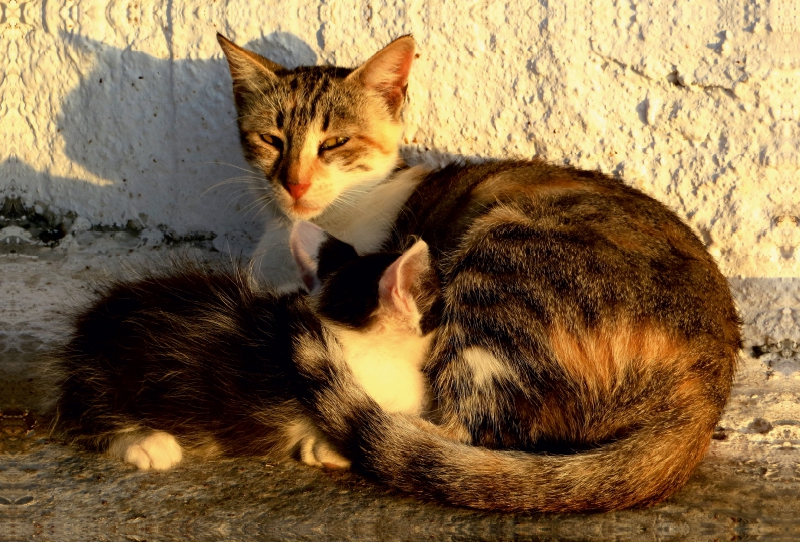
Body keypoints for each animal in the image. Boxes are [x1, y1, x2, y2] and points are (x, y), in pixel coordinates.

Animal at [216, 35, 740, 516]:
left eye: (334, 143)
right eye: (270, 140)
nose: (295, 183)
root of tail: (709, 382)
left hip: (504, 259)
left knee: (470, 430)